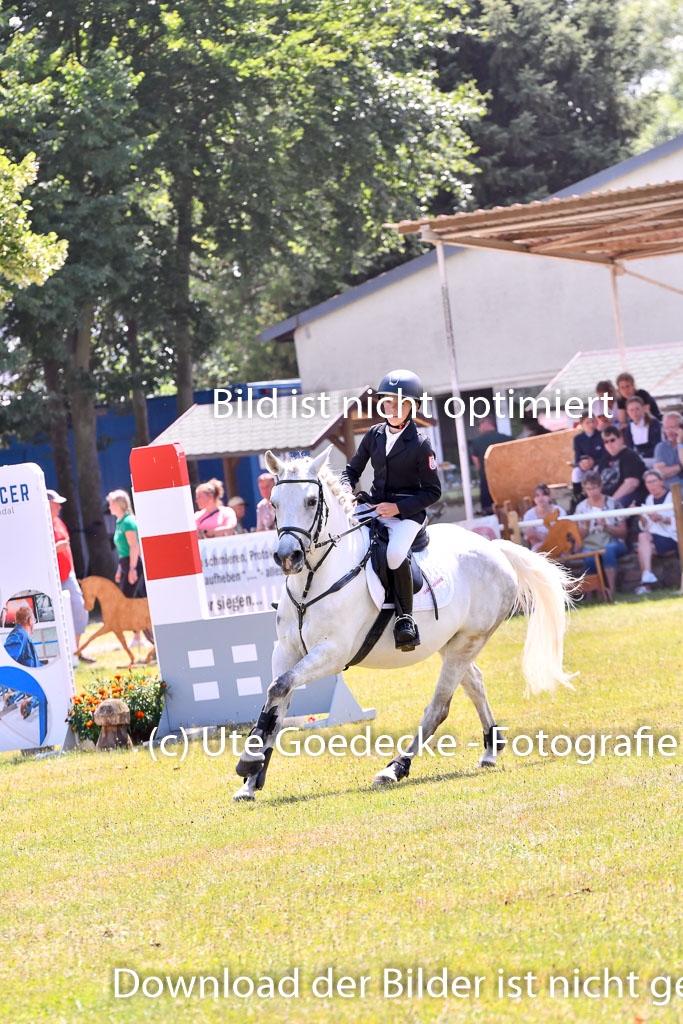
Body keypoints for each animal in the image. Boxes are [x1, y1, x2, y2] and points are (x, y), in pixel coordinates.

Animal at [232, 448, 573, 798]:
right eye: (273, 502)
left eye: (312, 501)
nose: (288, 557)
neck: (312, 581)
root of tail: (494, 548)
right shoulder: (286, 651)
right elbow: (277, 701)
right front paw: (252, 777)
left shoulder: (332, 653)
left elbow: (279, 688)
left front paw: (248, 763)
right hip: (450, 643)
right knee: (475, 683)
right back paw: (491, 750)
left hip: (468, 642)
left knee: (438, 707)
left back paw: (395, 768)